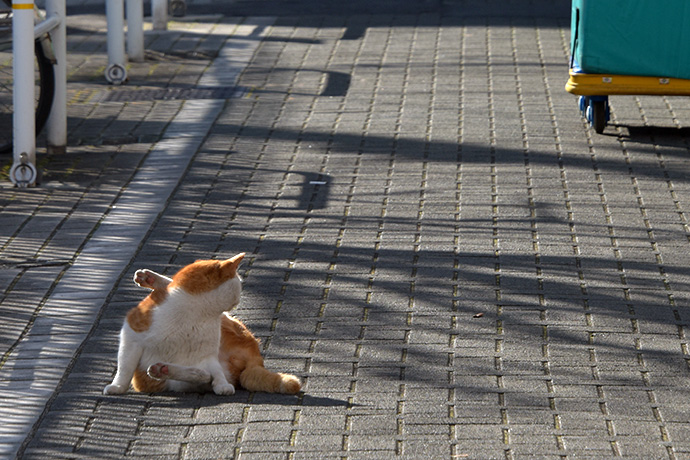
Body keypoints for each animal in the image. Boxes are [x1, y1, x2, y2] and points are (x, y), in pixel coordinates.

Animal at [101, 252, 298, 396]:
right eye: (237, 288)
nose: (237, 301)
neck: (194, 313)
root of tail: (256, 358)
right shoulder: (131, 336)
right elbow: (124, 368)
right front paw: (117, 387)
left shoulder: (207, 354)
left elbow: (211, 374)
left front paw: (221, 385)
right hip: (176, 381)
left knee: (206, 376)